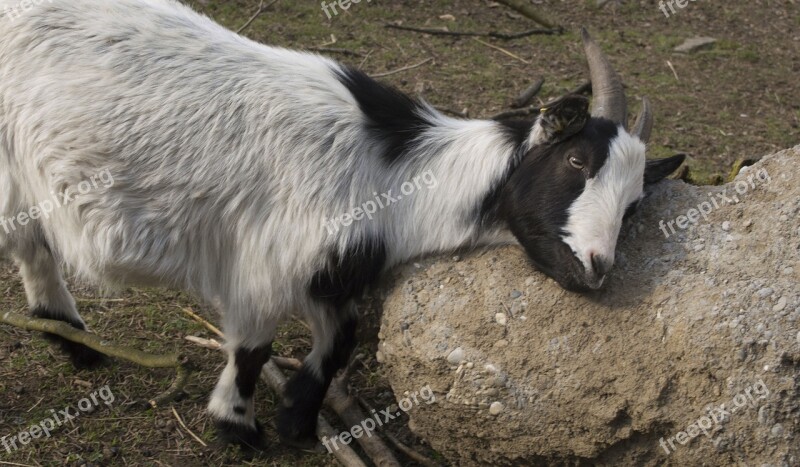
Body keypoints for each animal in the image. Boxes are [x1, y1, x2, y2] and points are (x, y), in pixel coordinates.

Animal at [0, 0, 684, 454]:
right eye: (577, 162)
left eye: (634, 205)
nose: (595, 270)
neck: (392, 171)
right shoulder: (263, 266)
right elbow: (252, 349)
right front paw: (238, 428)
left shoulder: (334, 277)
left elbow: (339, 345)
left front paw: (298, 423)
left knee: (33, 247)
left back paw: (72, 342)